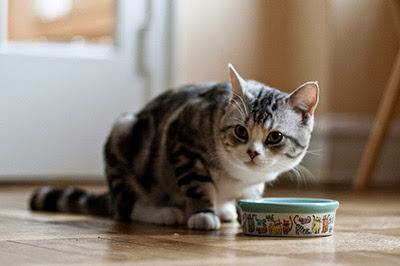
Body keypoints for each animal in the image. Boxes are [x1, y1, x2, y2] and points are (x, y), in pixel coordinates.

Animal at [28, 64, 318, 231]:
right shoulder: (182, 139)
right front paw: (202, 213)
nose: (252, 152)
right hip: (123, 133)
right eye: (240, 131)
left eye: (275, 137)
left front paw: (237, 209)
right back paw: (165, 212)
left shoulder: (254, 183)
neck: (238, 176)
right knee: (126, 209)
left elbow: (252, 195)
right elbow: (197, 183)